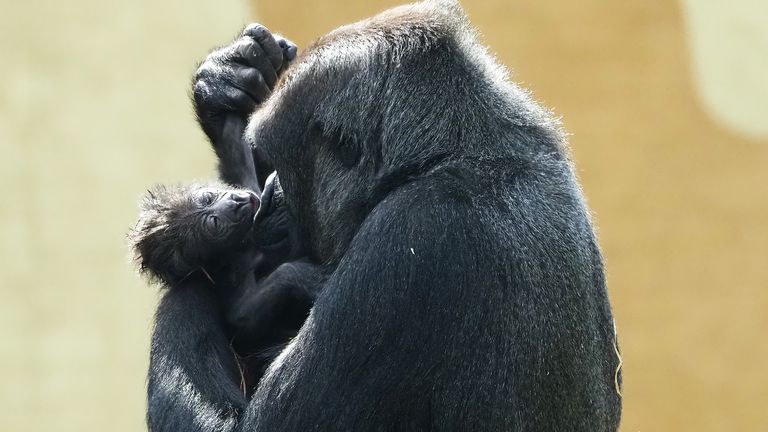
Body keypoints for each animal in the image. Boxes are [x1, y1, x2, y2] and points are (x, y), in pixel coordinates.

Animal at [129, 181, 318, 390]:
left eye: (208, 198)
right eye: (215, 223)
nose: (234, 204)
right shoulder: (230, 271)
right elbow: (241, 318)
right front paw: (297, 276)